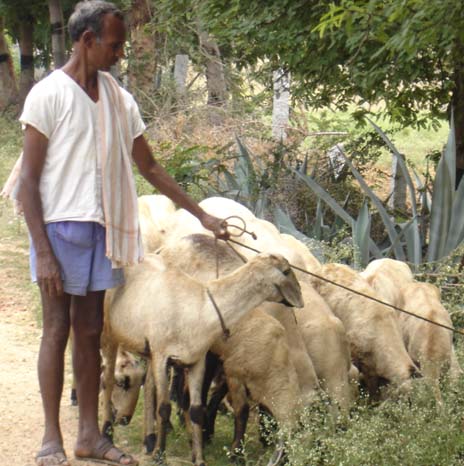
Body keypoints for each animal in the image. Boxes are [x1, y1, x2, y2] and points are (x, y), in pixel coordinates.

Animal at [100, 251, 302, 466]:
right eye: (286, 271)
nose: (300, 298)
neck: (202, 307)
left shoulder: (196, 361)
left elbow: (196, 410)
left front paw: (199, 458)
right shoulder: (163, 356)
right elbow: (164, 408)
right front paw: (160, 455)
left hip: (149, 351)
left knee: (148, 387)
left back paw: (149, 440)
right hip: (110, 333)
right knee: (108, 381)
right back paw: (108, 433)